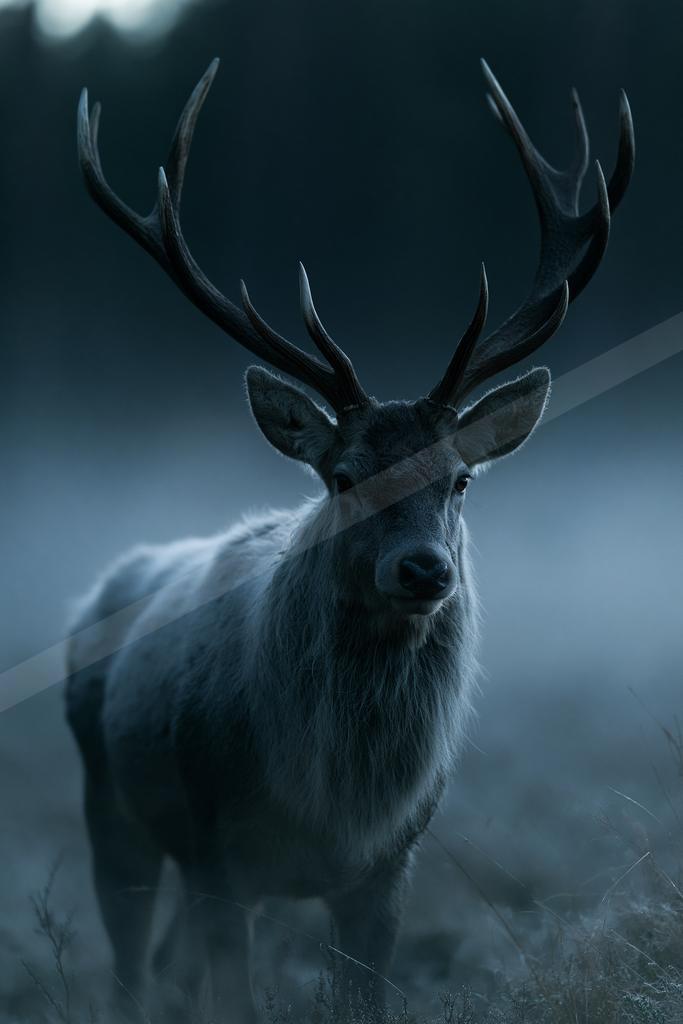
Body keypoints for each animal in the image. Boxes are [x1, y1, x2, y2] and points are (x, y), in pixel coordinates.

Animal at [66, 58, 634, 1022]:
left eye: (459, 479)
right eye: (343, 476)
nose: (424, 569)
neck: (329, 802)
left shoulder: (390, 862)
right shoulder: (215, 842)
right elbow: (232, 996)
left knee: (167, 968)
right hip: (111, 803)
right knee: (131, 970)